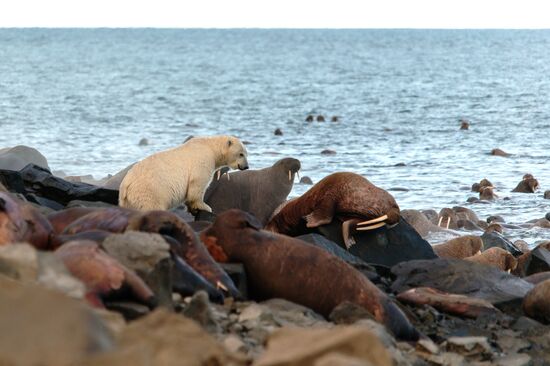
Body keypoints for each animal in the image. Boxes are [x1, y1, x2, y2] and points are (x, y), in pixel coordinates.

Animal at [121, 136, 252, 213]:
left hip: (129, 200)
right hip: (151, 190)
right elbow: (198, 183)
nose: (246, 167)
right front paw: (205, 206)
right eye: (241, 154)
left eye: (246, 154)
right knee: (152, 206)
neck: (210, 147)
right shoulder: (203, 160)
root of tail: (126, 183)